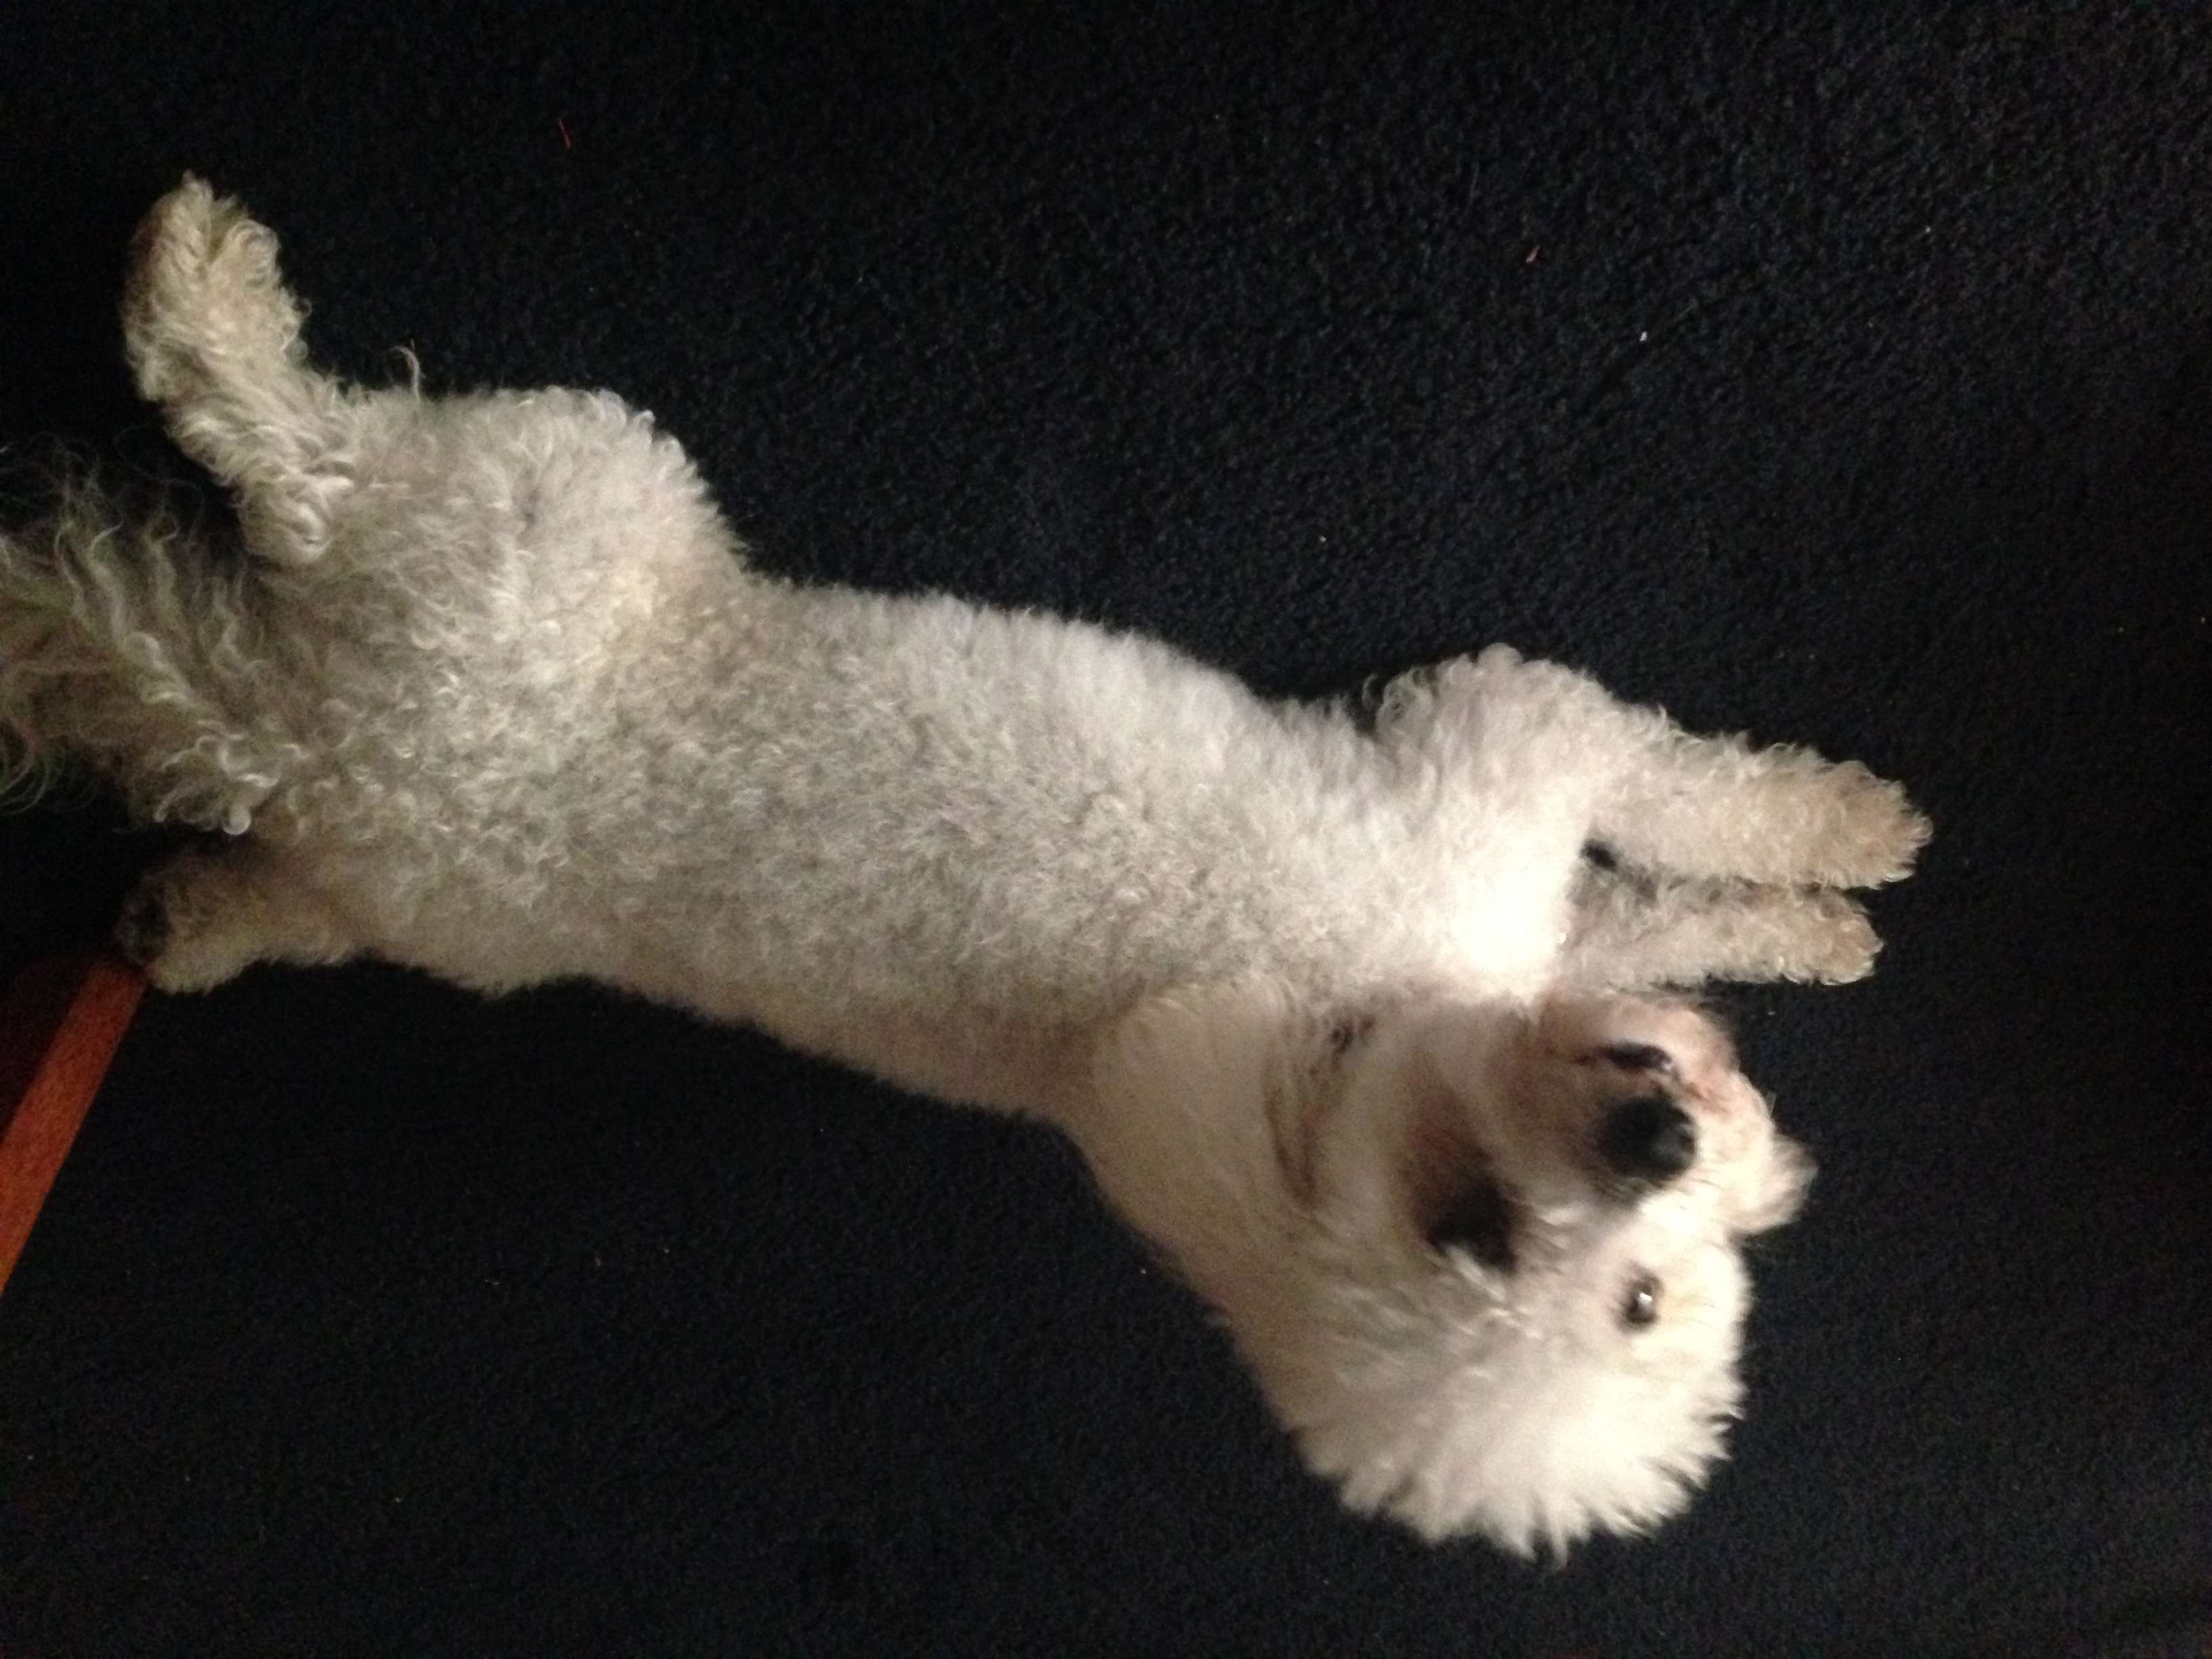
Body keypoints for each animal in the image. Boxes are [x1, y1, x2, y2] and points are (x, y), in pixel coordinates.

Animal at [0, 178, 1926, 1556]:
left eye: (1642, 1296)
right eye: (1471, 1227)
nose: (1657, 1135)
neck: (1372, 1021)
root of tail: (322, 736)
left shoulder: (1545, 912)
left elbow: (1656, 905)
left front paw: (1817, 937)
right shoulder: (1509, 734)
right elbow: (1695, 792)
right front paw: (1852, 836)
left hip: (424, 880)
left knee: (276, 805)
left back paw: (184, 912)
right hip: (552, 494)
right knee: (292, 452)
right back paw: (198, 288)